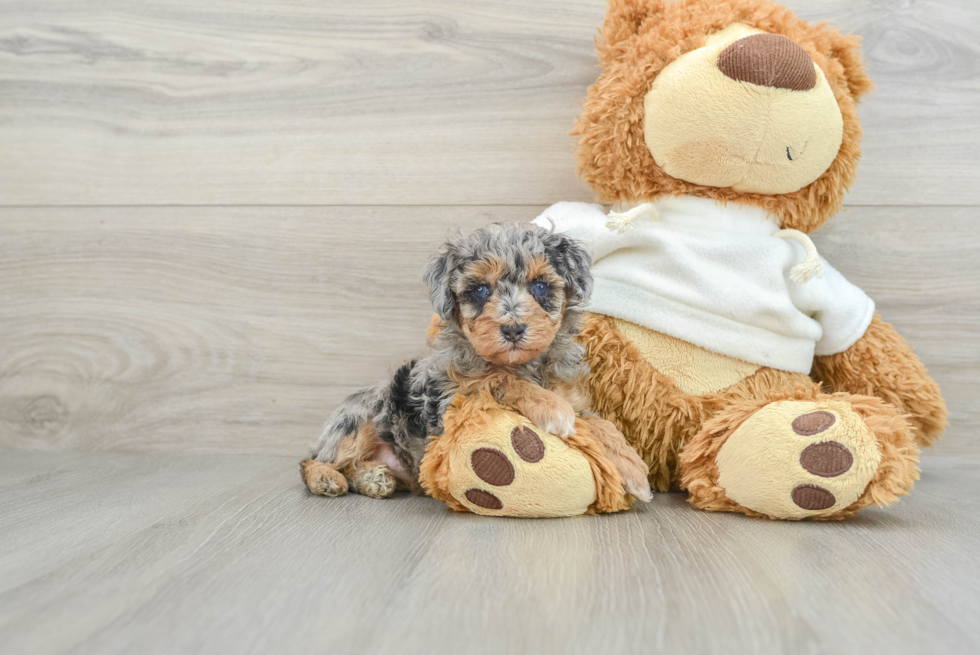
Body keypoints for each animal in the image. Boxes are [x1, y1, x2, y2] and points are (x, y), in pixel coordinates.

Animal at [298, 222, 652, 502]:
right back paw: (327, 478)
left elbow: (603, 425)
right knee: (313, 460)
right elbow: (498, 380)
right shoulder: (453, 399)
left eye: (540, 285)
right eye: (480, 289)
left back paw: (374, 478)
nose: (513, 329)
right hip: (362, 417)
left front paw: (634, 469)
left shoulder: (579, 403)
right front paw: (551, 408)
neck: (522, 363)